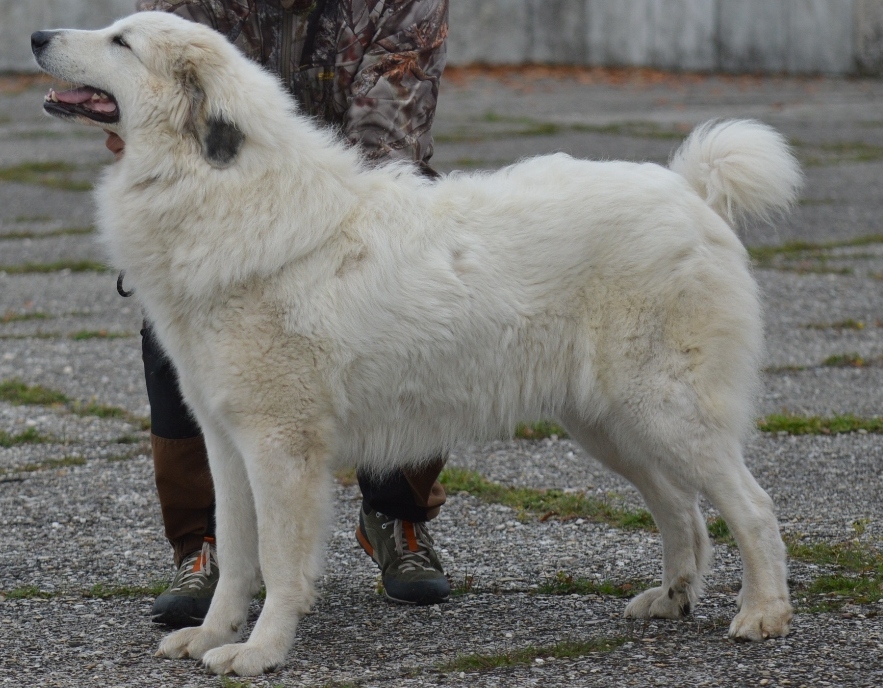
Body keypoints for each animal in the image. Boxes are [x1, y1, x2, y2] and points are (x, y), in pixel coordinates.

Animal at [32, 12, 800, 676]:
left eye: (122, 42)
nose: (37, 35)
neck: (217, 188)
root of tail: (689, 192)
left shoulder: (281, 446)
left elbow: (278, 562)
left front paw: (260, 651)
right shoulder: (228, 442)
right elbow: (237, 557)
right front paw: (210, 635)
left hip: (663, 410)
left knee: (751, 507)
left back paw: (763, 614)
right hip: (610, 424)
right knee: (680, 509)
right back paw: (671, 598)